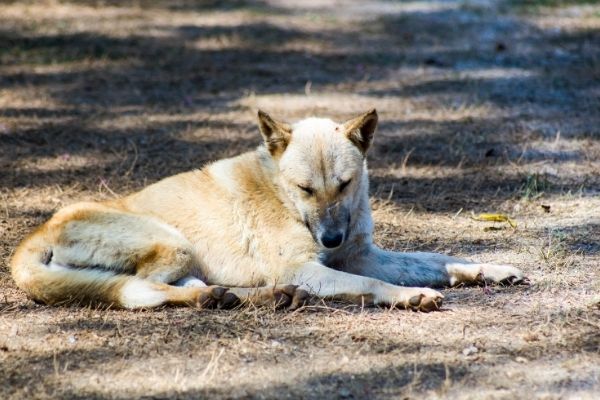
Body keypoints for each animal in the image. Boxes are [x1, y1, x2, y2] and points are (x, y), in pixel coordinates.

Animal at [9, 110, 524, 312]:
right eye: (305, 189)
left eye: (344, 184)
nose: (331, 239)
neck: (284, 197)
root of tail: (35, 235)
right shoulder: (312, 267)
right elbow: (373, 285)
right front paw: (408, 296)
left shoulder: (360, 255)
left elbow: (437, 257)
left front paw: (489, 269)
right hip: (172, 244)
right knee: (145, 289)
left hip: (184, 257)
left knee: (188, 288)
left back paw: (257, 298)